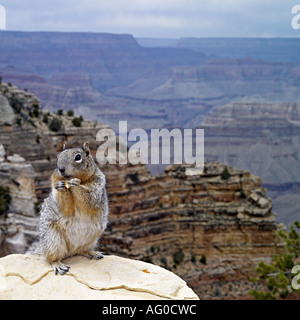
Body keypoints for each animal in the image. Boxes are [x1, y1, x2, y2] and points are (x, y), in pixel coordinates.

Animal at [26, 142, 109, 276]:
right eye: (58, 156)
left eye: (78, 157)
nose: (60, 169)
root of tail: (70, 251)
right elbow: (65, 207)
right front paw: (60, 185)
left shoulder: (98, 184)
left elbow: (91, 199)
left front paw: (75, 184)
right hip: (53, 241)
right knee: (50, 258)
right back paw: (58, 265)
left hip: (91, 240)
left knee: (80, 251)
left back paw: (91, 252)